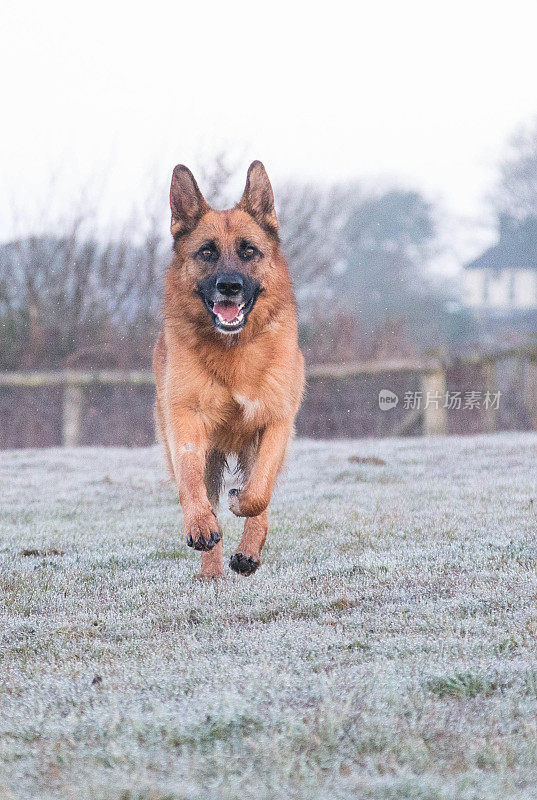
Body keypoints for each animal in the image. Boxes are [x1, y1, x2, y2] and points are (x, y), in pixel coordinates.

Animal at [155, 161, 304, 576]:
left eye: (248, 251)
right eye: (207, 252)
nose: (230, 286)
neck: (233, 351)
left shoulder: (276, 421)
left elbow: (258, 492)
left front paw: (241, 503)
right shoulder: (187, 421)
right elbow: (192, 484)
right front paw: (202, 527)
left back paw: (247, 552)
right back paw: (212, 570)